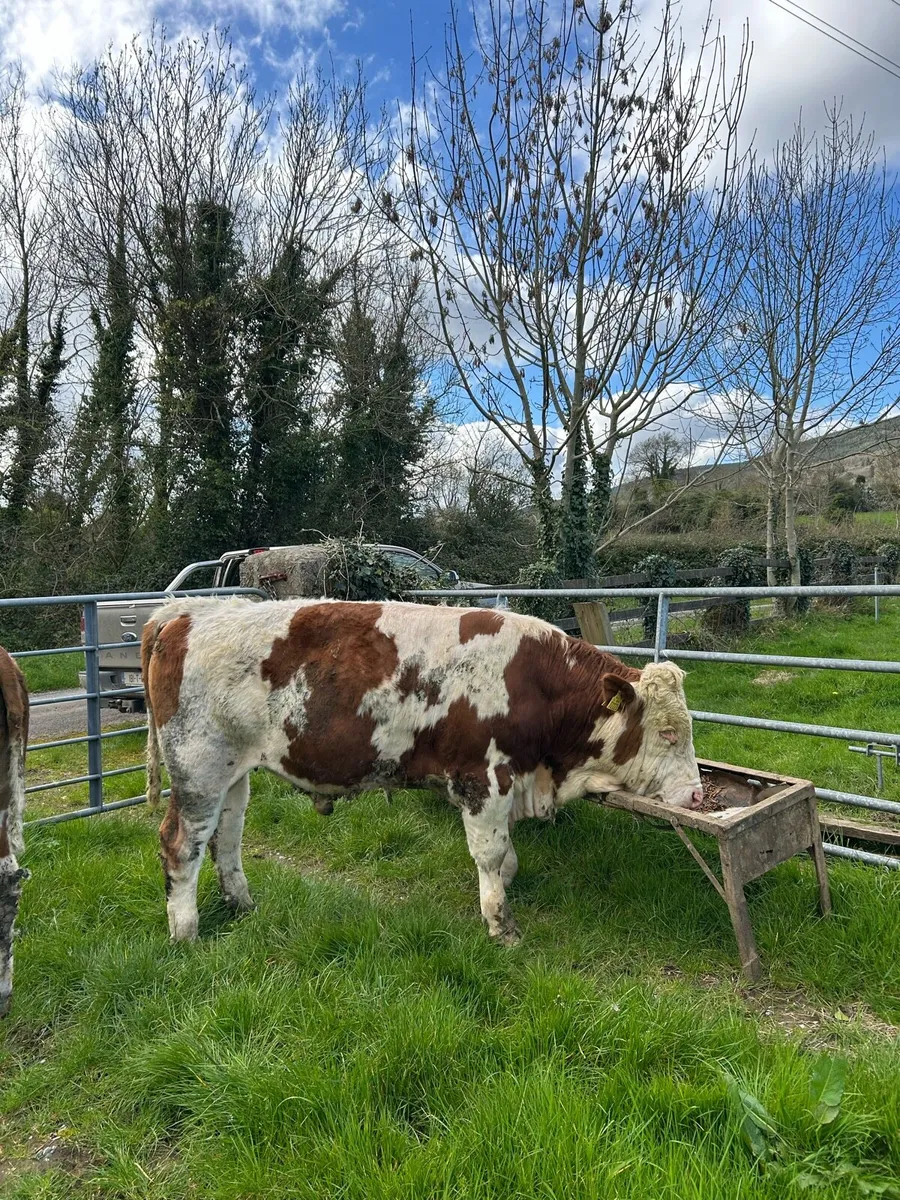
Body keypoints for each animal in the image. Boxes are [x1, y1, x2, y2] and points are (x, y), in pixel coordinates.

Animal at [142, 598, 702, 946]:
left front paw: (502, 891)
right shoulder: (482, 777)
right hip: (197, 768)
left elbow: (506, 857)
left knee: (227, 840)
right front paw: (500, 924)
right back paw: (186, 934)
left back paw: (243, 906)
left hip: (234, 775)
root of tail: (186, 612)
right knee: (181, 845)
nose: (698, 796)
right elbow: (490, 852)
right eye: (668, 733)